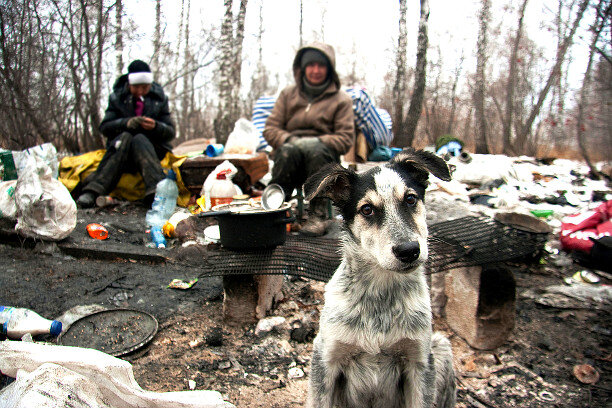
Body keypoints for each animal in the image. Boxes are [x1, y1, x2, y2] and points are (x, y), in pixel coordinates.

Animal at [304, 149, 456, 408]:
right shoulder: (325, 357)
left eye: (410, 199)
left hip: (442, 349)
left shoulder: (420, 362)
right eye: (367, 209)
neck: (381, 292)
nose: (409, 250)